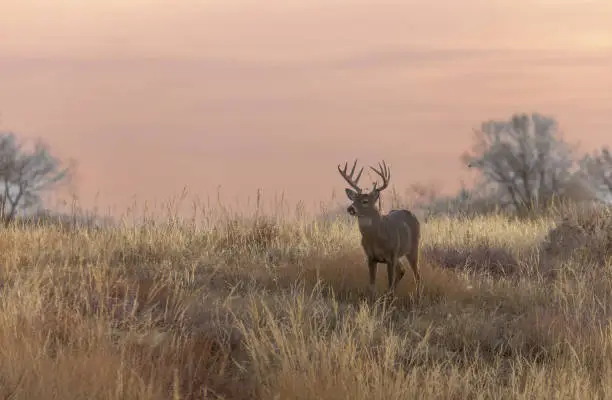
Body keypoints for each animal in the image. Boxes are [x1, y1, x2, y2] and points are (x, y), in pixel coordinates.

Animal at [340, 159, 420, 296]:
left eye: (365, 201)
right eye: (354, 199)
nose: (350, 208)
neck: (376, 238)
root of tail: (412, 214)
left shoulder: (391, 256)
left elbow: (390, 283)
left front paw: (390, 298)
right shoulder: (370, 257)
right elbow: (371, 285)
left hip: (413, 248)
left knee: (417, 274)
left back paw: (418, 294)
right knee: (402, 270)